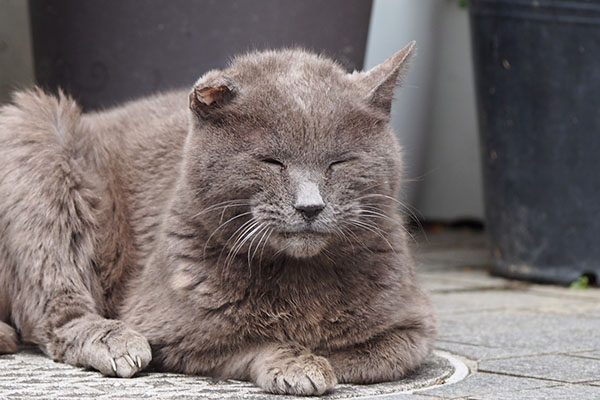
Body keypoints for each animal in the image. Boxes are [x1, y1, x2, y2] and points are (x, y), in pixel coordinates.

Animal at [0, 42, 434, 396]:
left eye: (339, 163)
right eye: (271, 161)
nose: (310, 206)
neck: (299, 278)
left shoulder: (414, 328)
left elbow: (375, 356)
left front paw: (321, 355)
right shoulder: (173, 327)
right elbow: (249, 342)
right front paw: (299, 363)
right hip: (39, 142)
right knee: (54, 311)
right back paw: (114, 341)